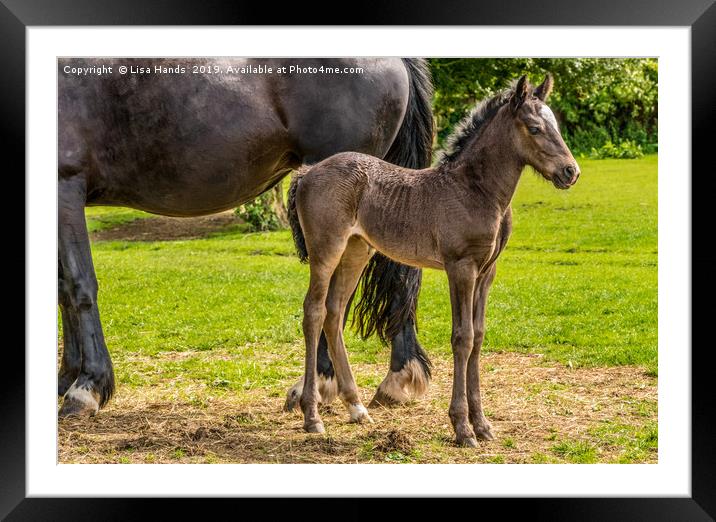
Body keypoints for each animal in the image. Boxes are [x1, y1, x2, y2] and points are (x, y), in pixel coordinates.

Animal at [56, 58, 434, 414]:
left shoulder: (66, 185)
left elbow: (79, 286)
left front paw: (86, 387)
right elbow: (62, 290)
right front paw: (65, 378)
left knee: (335, 297)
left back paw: (317, 386)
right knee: (391, 279)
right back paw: (396, 379)